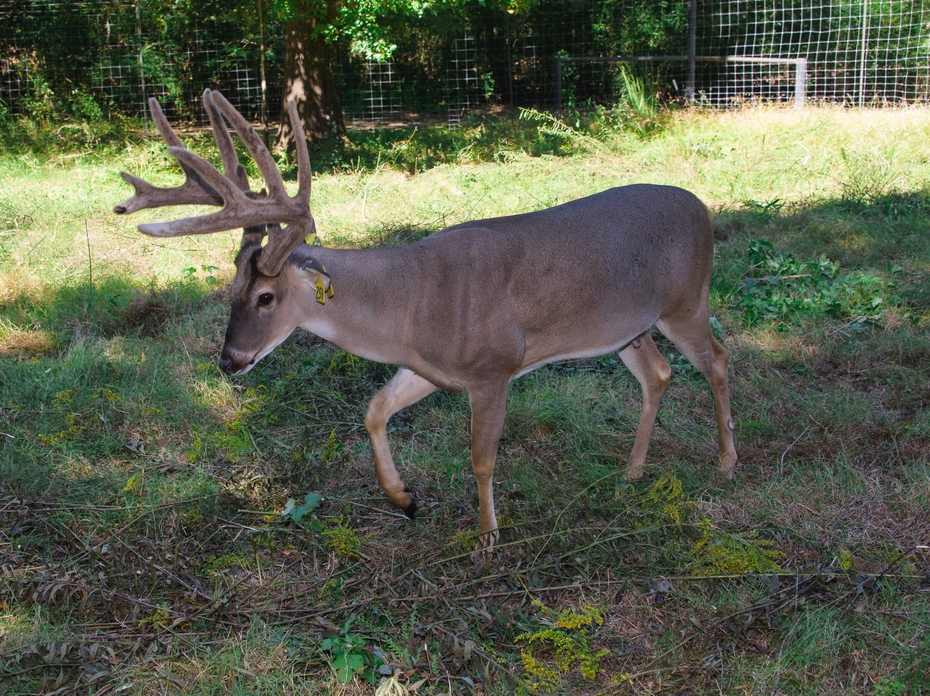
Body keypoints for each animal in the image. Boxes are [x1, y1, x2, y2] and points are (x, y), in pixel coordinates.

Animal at [114, 89, 737, 551]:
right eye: (231, 290)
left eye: (266, 297)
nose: (229, 360)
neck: (410, 307)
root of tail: (701, 207)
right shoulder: (429, 368)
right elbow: (373, 411)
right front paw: (404, 498)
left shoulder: (493, 367)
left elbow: (481, 459)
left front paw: (487, 535)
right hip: (628, 328)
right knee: (659, 374)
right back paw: (632, 470)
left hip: (687, 300)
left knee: (719, 359)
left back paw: (727, 459)